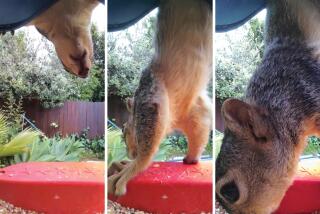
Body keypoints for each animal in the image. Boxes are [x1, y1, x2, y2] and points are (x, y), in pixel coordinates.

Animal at [108, 0, 212, 196]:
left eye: (124, 129)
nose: (129, 154)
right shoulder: (191, 109)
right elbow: (200, 127)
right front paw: (192, 158)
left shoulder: (150, 98)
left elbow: (146, 154)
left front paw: (128, 169)